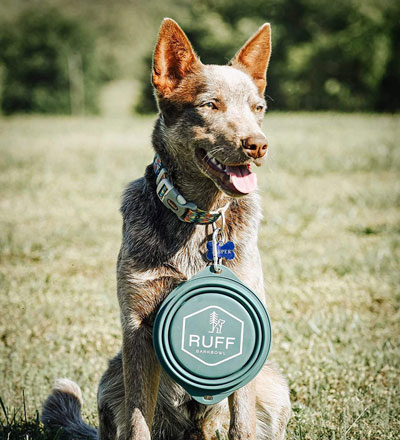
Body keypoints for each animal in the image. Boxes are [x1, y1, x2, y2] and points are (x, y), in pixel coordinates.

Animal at [40, 18, 290, 440]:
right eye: (210, 105)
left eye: (258, 108)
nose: (258, 145)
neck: (199, 219)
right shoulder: (138, 328)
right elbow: (138, 418)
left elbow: (242, 423)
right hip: (110, 379)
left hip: (273, 385)